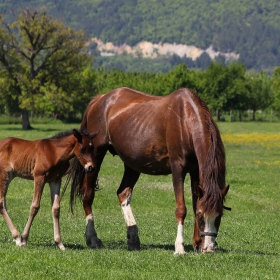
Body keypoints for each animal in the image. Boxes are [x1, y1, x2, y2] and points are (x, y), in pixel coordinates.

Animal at [68, 87, 230, 254]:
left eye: (219, 216)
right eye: (201, 216)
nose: (209, 248)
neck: (185, 121)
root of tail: (100, 99)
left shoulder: (196, 171)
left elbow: (195, 203)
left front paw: (197, 243)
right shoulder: (178, 170)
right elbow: (181, 209)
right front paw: (179, 247)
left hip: (132, 164)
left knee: (123, 193)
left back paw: (133, 239)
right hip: (95, 157)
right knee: (88, 195)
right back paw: (92, 238)